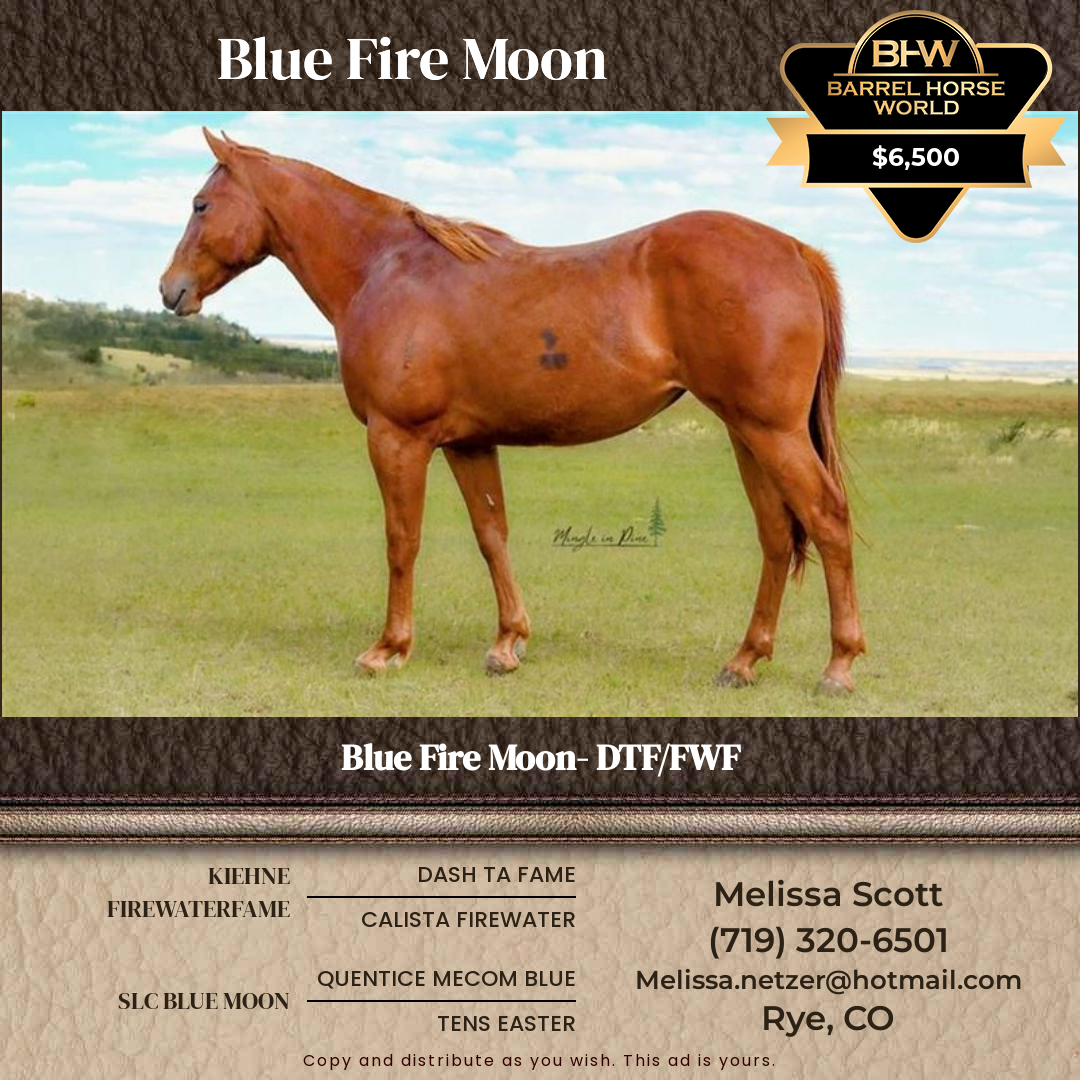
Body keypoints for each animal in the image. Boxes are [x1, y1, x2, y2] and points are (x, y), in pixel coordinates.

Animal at [160, 128, 866, 693]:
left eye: (201, 204)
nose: (171, 290)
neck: (386, 269)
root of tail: (795, 250)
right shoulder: (468, 442)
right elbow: (491, 535)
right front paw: (507, 644)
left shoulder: (398, 439)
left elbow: (401, 540)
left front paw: (388, 650)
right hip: (748, 433)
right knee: (776, 535)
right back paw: (743, 661)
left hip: (772, 432)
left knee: (827, 519)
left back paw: (838, 666)